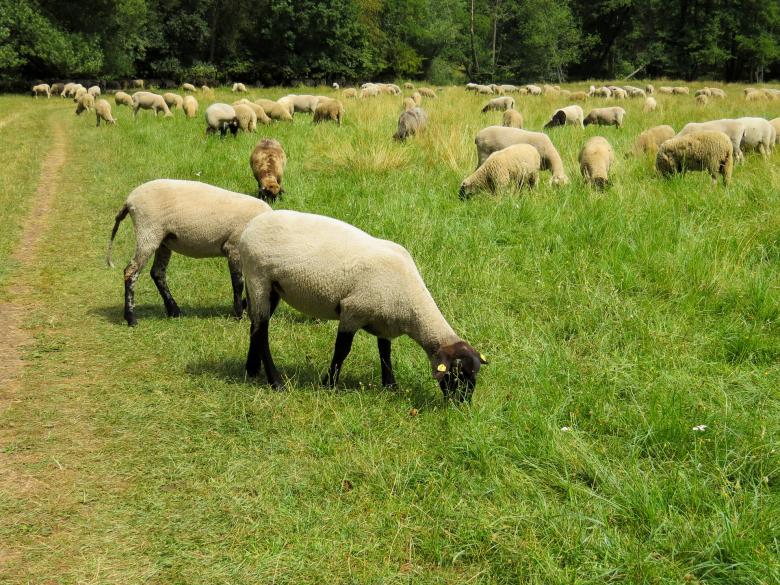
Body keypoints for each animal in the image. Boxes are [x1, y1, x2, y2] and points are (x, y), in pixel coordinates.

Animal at [106, 179, 272, 327]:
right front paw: (239, 314)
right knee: (131, 272)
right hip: (148, 231)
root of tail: (129, 201)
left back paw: (174, 311)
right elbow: (238, 283)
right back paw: (131, 319)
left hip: (163, 240)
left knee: (157, 273)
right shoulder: (233, 248)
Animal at [238, 209, 487, 399]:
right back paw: (275, 382)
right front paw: (329, 384)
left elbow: (385, 353)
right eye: (457, 374)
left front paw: (390, 386)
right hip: (258, 277)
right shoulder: (353, 311)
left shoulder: (386, 322)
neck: (411, 305)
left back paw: (251, 370)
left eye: (474, 375)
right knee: (261, 331)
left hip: (270, 287)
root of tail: (249, 227)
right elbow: (342, 350)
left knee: (254, 326)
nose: (462, 404)